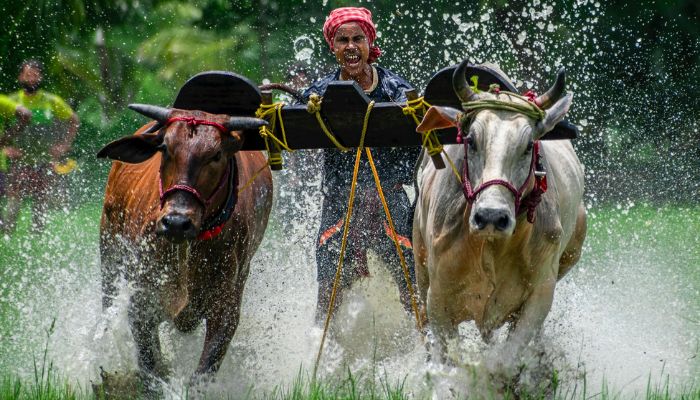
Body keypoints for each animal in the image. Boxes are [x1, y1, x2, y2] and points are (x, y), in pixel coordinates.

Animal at [97, 105, 272, 390]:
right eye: (165, 148)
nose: (176, 222)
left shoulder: (226, 311)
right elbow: (152, 369)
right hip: (109, 248)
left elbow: (201, 375)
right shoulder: (141, 302)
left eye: (216, 155)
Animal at [412, 61, 588, 358]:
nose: (491, 216)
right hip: (419, 262)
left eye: (529, 145)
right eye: (471, 140)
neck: (491, 247)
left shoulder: (540, 295)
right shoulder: (437, 298)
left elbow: (504, 359)